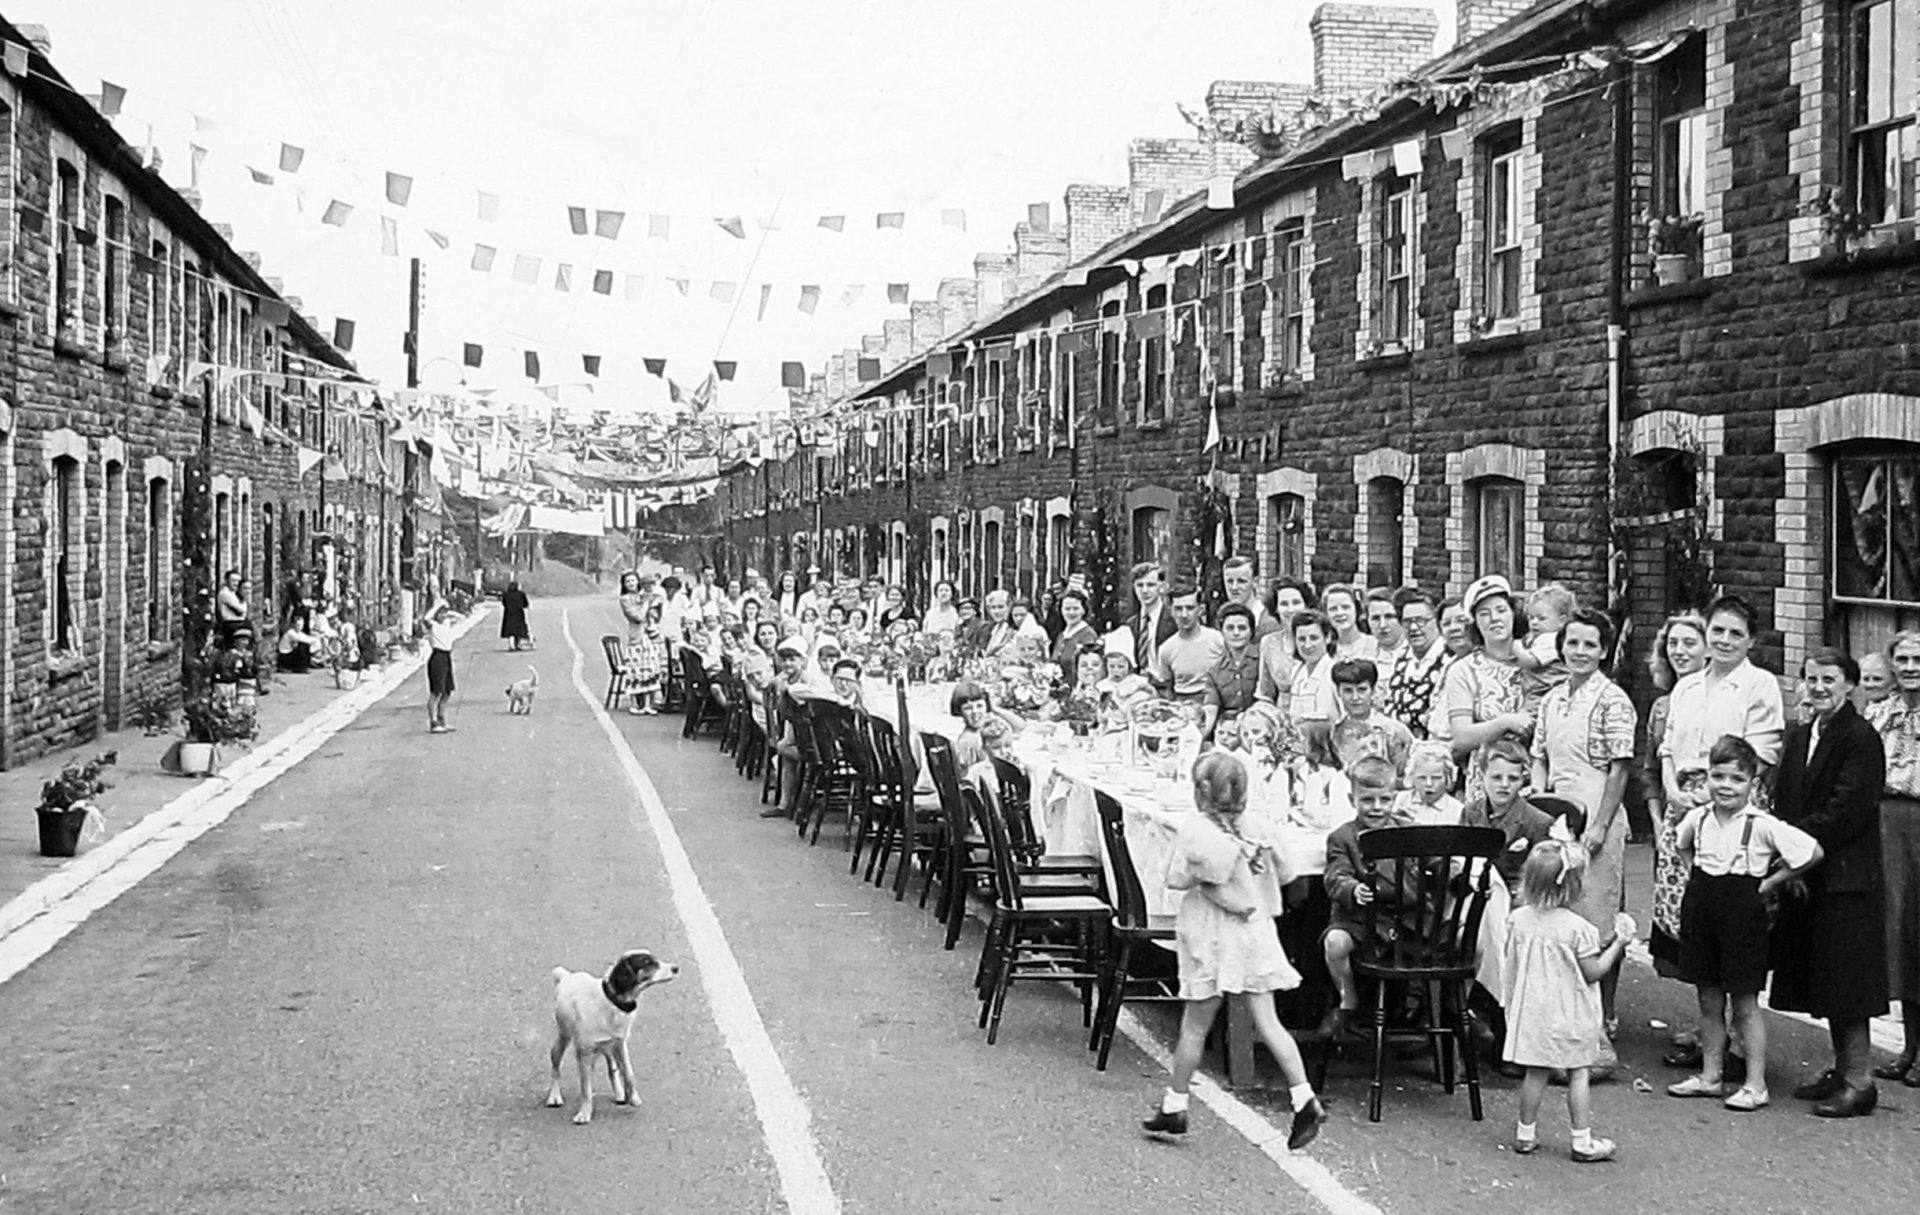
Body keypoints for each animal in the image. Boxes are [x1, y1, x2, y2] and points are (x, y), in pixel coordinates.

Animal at [545, 948, 679, 1128]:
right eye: (647, 962)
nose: (675, 968)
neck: (611, 1002)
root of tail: (566, 976)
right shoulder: (584, 1053)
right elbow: (585, 1089)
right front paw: (584, 1113)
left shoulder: (620, 1043)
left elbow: (628, 1073)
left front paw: (633, 1098)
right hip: (562, 1039)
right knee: (555, 1068)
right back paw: (554, 1096)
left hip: (610, 1047)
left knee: (612, 1067)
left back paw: (619, 1093)